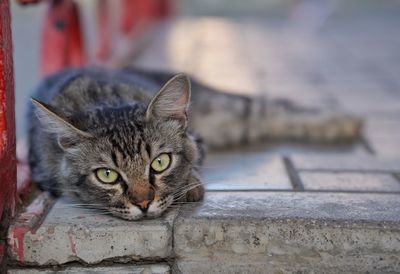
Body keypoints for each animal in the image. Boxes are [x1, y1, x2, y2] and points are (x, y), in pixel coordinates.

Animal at [28, 68, 360, 220]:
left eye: (159, 162)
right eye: (107, 175)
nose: (143, 204)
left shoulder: (198, 139)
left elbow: (194, 160)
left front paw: (190, 185)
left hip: (231, 109)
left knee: (273, 107)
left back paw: (342, 122)